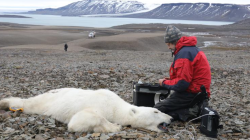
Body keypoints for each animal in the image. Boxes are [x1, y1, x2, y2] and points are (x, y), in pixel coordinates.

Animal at [0, 88, 172, 133]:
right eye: (156, 112)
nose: (170, 118)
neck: (115, 105)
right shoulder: (101, 104)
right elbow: (79, 119)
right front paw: (114, 126)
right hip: (45, 102)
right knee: (27, 103)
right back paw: (5, 103)